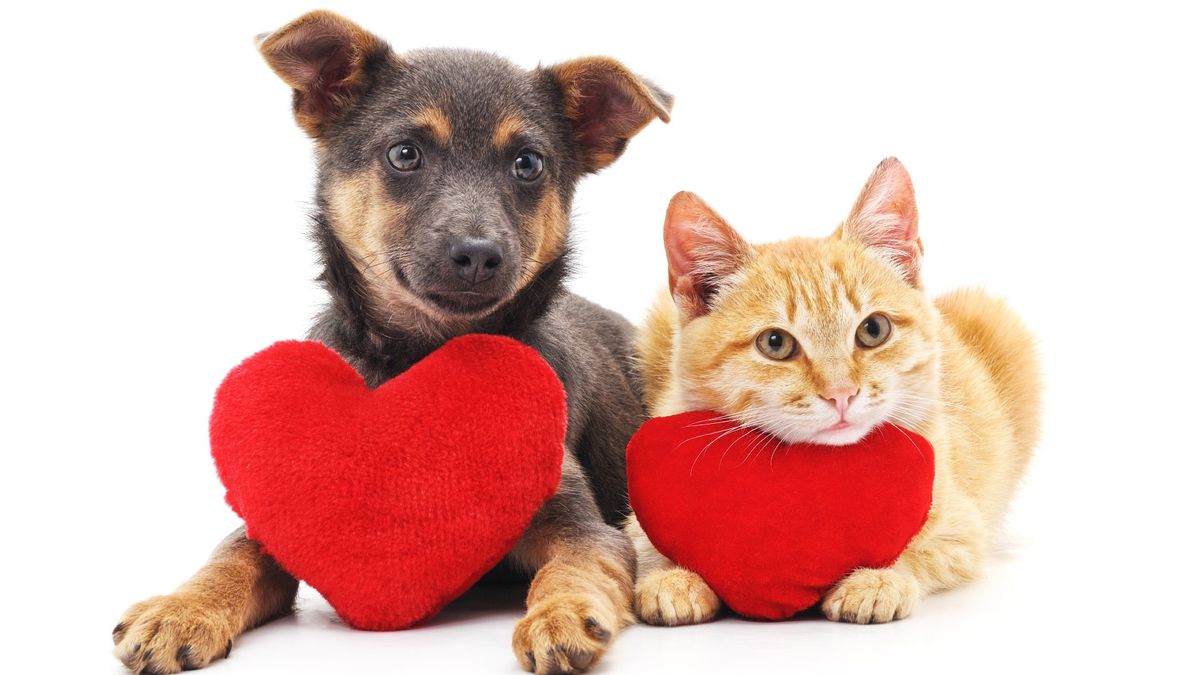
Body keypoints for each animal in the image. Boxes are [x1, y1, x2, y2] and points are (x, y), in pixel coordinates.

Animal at [110, 10, 676, 672]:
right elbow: (229, 556)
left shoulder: (586, 528)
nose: (478, 254)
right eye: (405, 154)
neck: (425, 353)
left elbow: (572, 569)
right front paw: (180, 608)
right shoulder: (276, 513)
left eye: (529, 164)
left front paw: (559, 615)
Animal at [628, 154, 1041, 624]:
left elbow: (919, 548)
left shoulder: (961, 530)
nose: (841, 393)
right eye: (775, 343)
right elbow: (645, 546)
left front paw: (877, 581)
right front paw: (673, 578)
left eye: (874, 330)